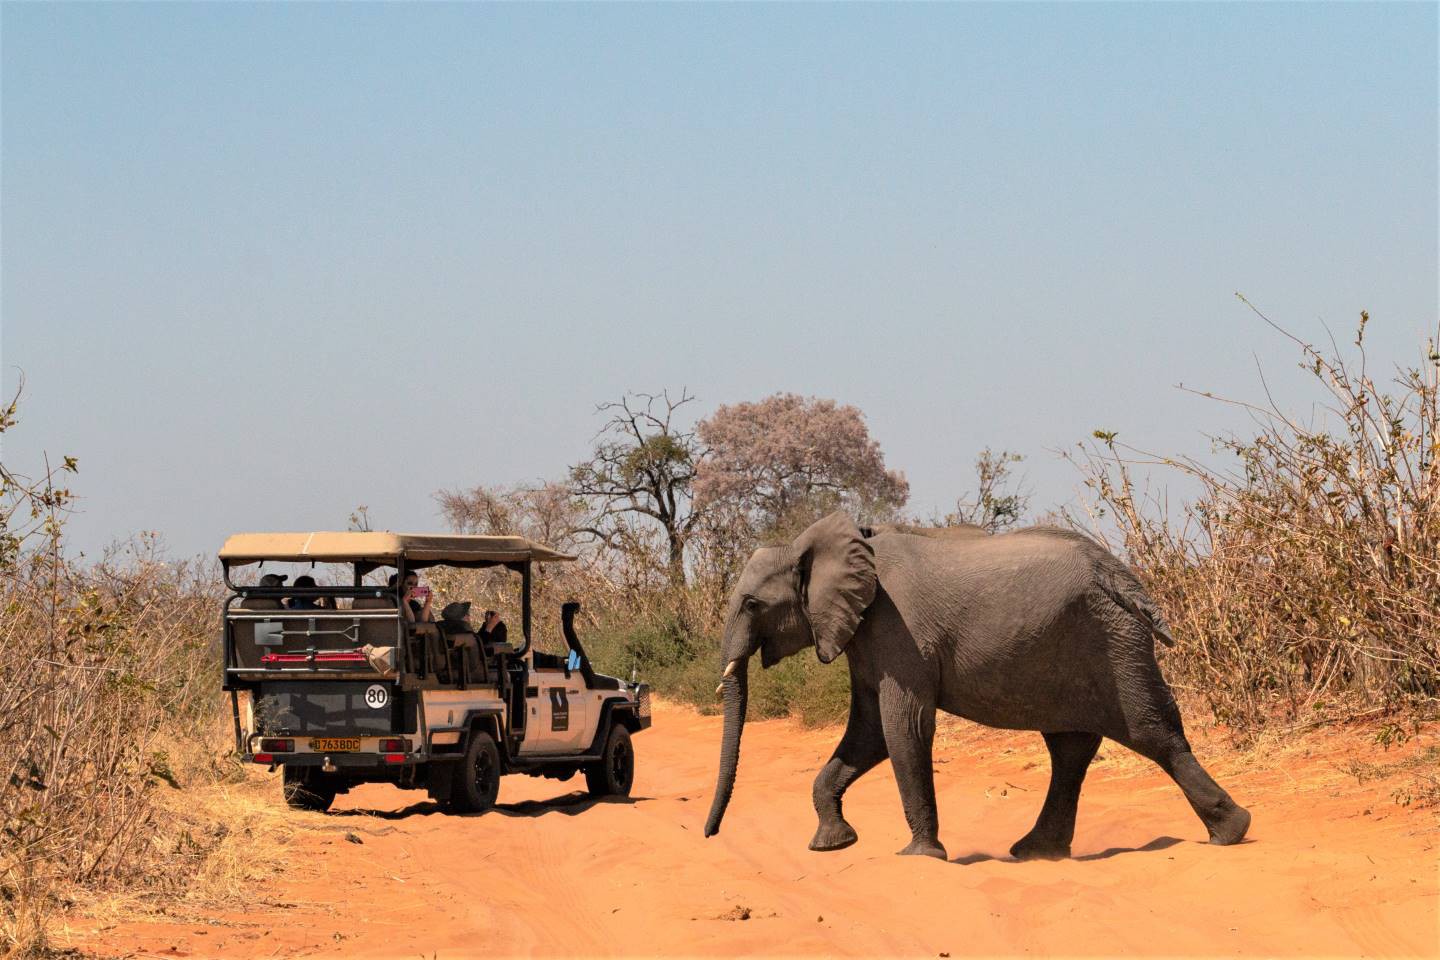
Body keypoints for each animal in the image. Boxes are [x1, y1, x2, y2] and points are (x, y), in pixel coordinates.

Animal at [699, 515, 1249, 857]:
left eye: (751, 603)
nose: (709, 834)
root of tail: (1122, 576)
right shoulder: (864, 635)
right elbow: (868, 732)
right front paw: (832, 844)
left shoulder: (897, 629)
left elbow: (903, 726)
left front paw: (920, 855)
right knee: (1071, 748)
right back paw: (1036, 852)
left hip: (1113, 642)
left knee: (1151, 732)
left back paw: (1232, 832)